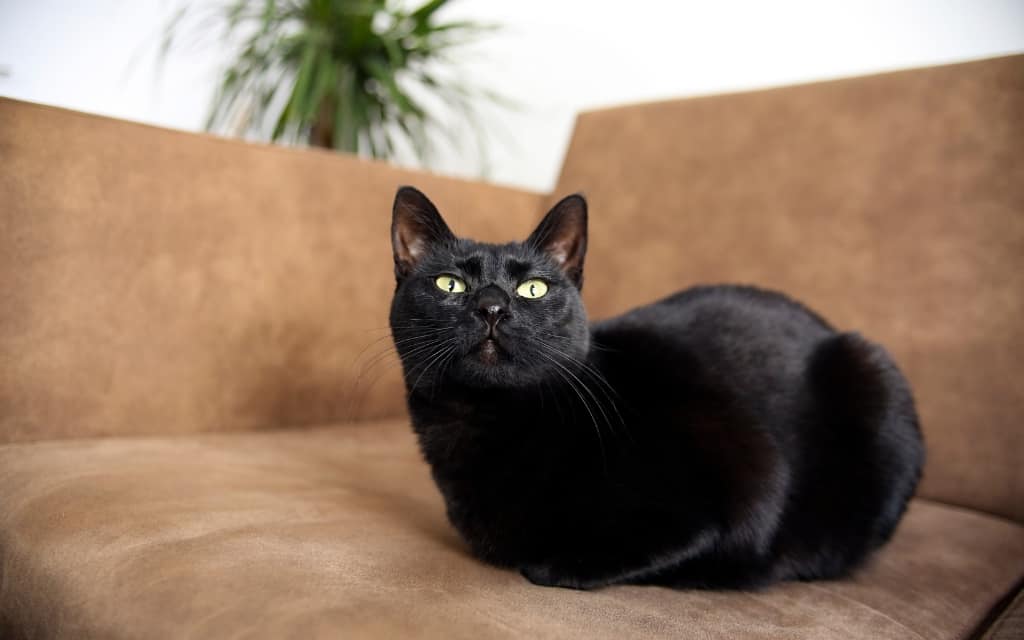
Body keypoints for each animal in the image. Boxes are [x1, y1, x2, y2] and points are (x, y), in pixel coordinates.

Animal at [387, 184, 925, 589]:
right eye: (449, 284)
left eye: (533, 289)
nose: (493, 307)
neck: (481, 422)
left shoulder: (740, 481)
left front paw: (559, 563)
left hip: (873, 370)